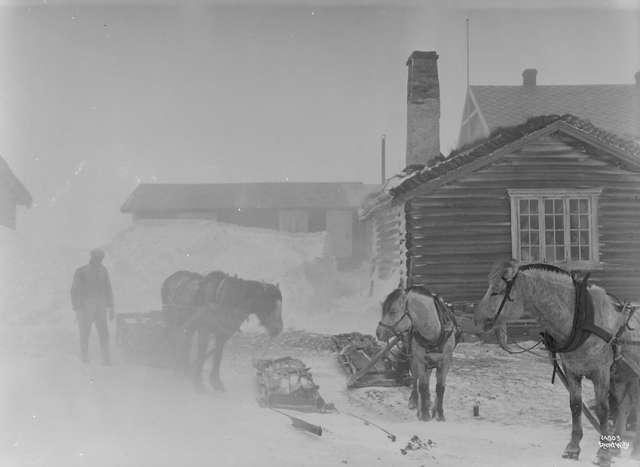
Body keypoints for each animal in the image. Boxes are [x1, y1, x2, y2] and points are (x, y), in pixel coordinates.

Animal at [376, 288, 460, 422]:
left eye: (393, 311)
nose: (378, 333)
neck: (433, 333)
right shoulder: (419, 359)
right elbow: (422, 385)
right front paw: (424, 413)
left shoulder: (445, 361)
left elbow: (440, 387)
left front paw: (439, 413)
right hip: (413, 358)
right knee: (416, 378)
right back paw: (415, 401)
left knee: (428, 376)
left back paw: (430, 402)